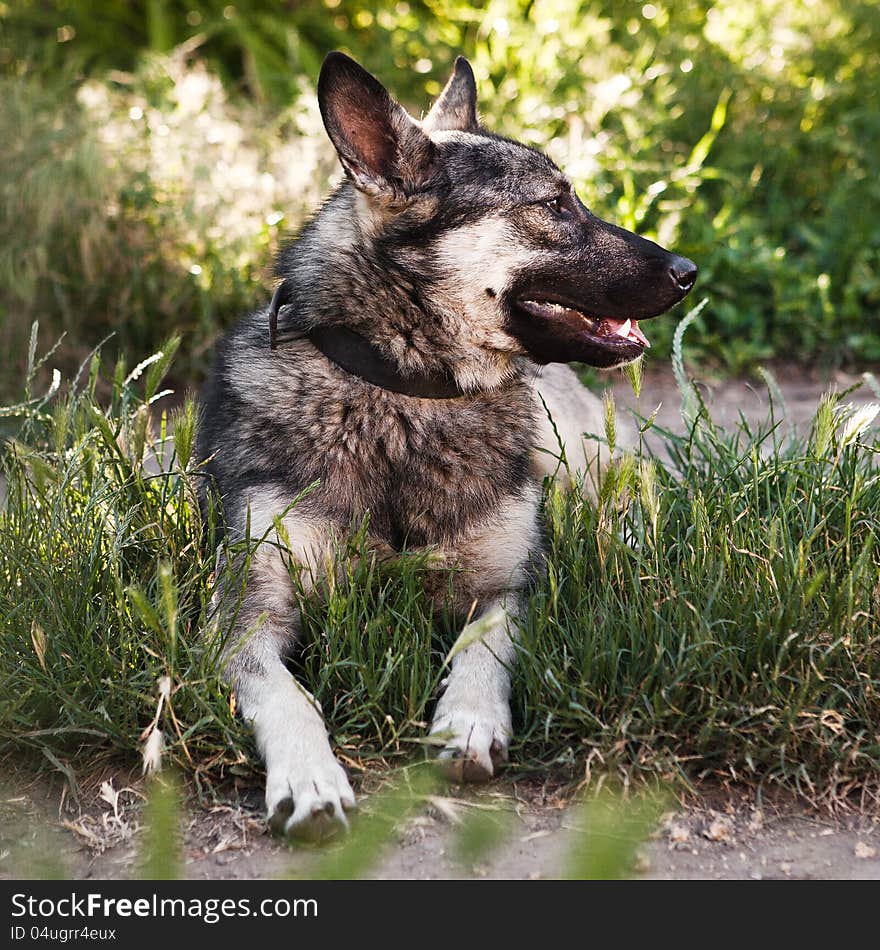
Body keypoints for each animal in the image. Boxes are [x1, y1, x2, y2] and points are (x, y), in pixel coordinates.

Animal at [198, 52, 696, 840]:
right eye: (555, 205)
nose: (688, 271)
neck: (406, 395)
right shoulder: (246, 618)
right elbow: (287, 695)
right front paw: (309, 776)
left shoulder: (509, 587)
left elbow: (483, 647)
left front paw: (467, 720)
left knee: (633, 483)